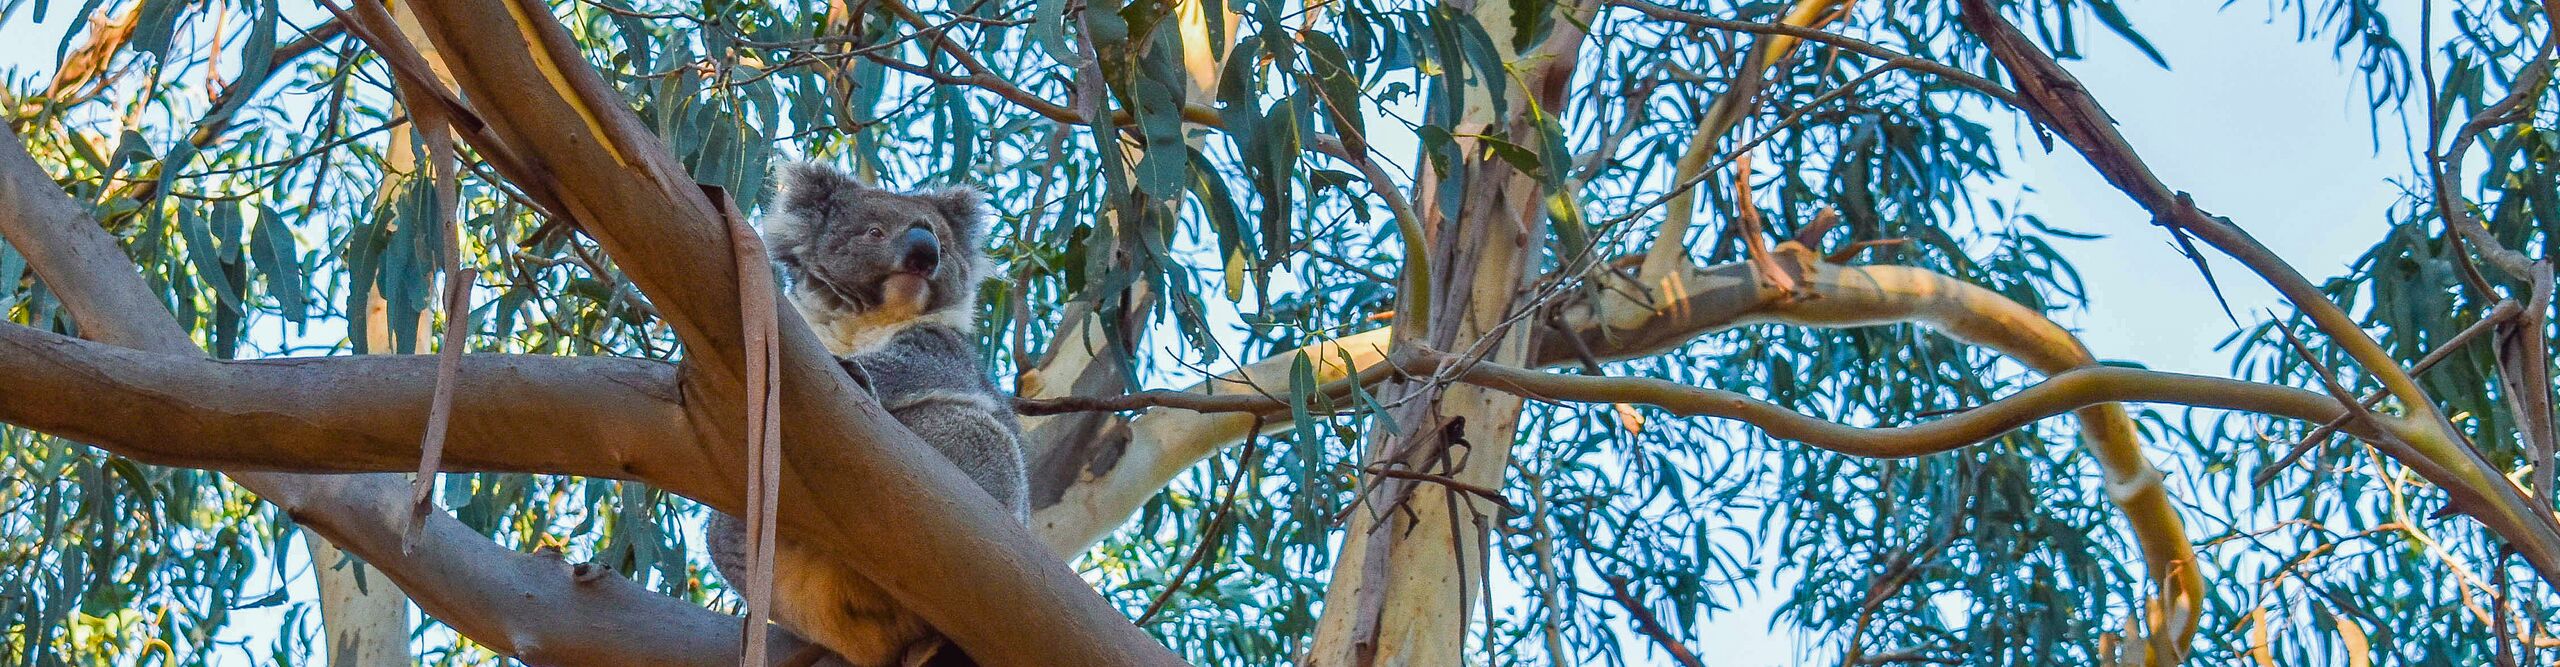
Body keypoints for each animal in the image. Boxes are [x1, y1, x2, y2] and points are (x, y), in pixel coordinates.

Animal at [707, 160, 1028, 666]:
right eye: (874, 232)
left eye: (941, 242)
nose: (924, 254)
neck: (866, 318)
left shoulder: (942, 349)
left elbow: (910, 368)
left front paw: (856, 373)